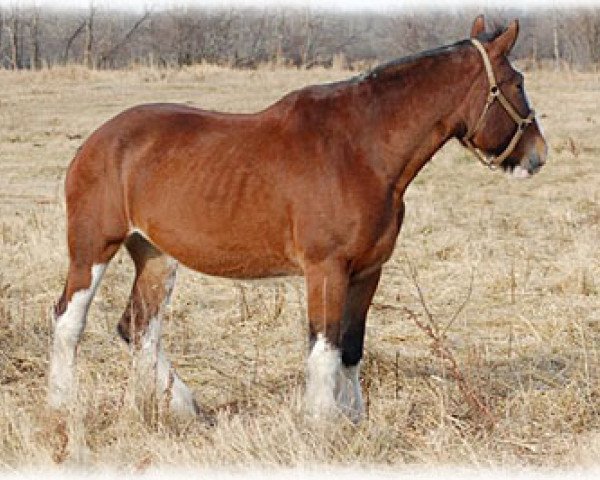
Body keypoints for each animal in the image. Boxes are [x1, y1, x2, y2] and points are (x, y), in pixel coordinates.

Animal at [50, 15, 548, 422]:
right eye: (516, 82)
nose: (537, 155)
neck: (360, 150)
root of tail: (95, 142)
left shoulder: (368, 270)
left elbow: (350, 347)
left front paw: (354, 420)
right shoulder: (326, 269)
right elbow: (323, 347)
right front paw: (322, 424)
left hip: (156, 256)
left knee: (139, 330)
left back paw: (183, 408)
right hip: (93, 248)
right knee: (68, 321)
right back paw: (63, 406)